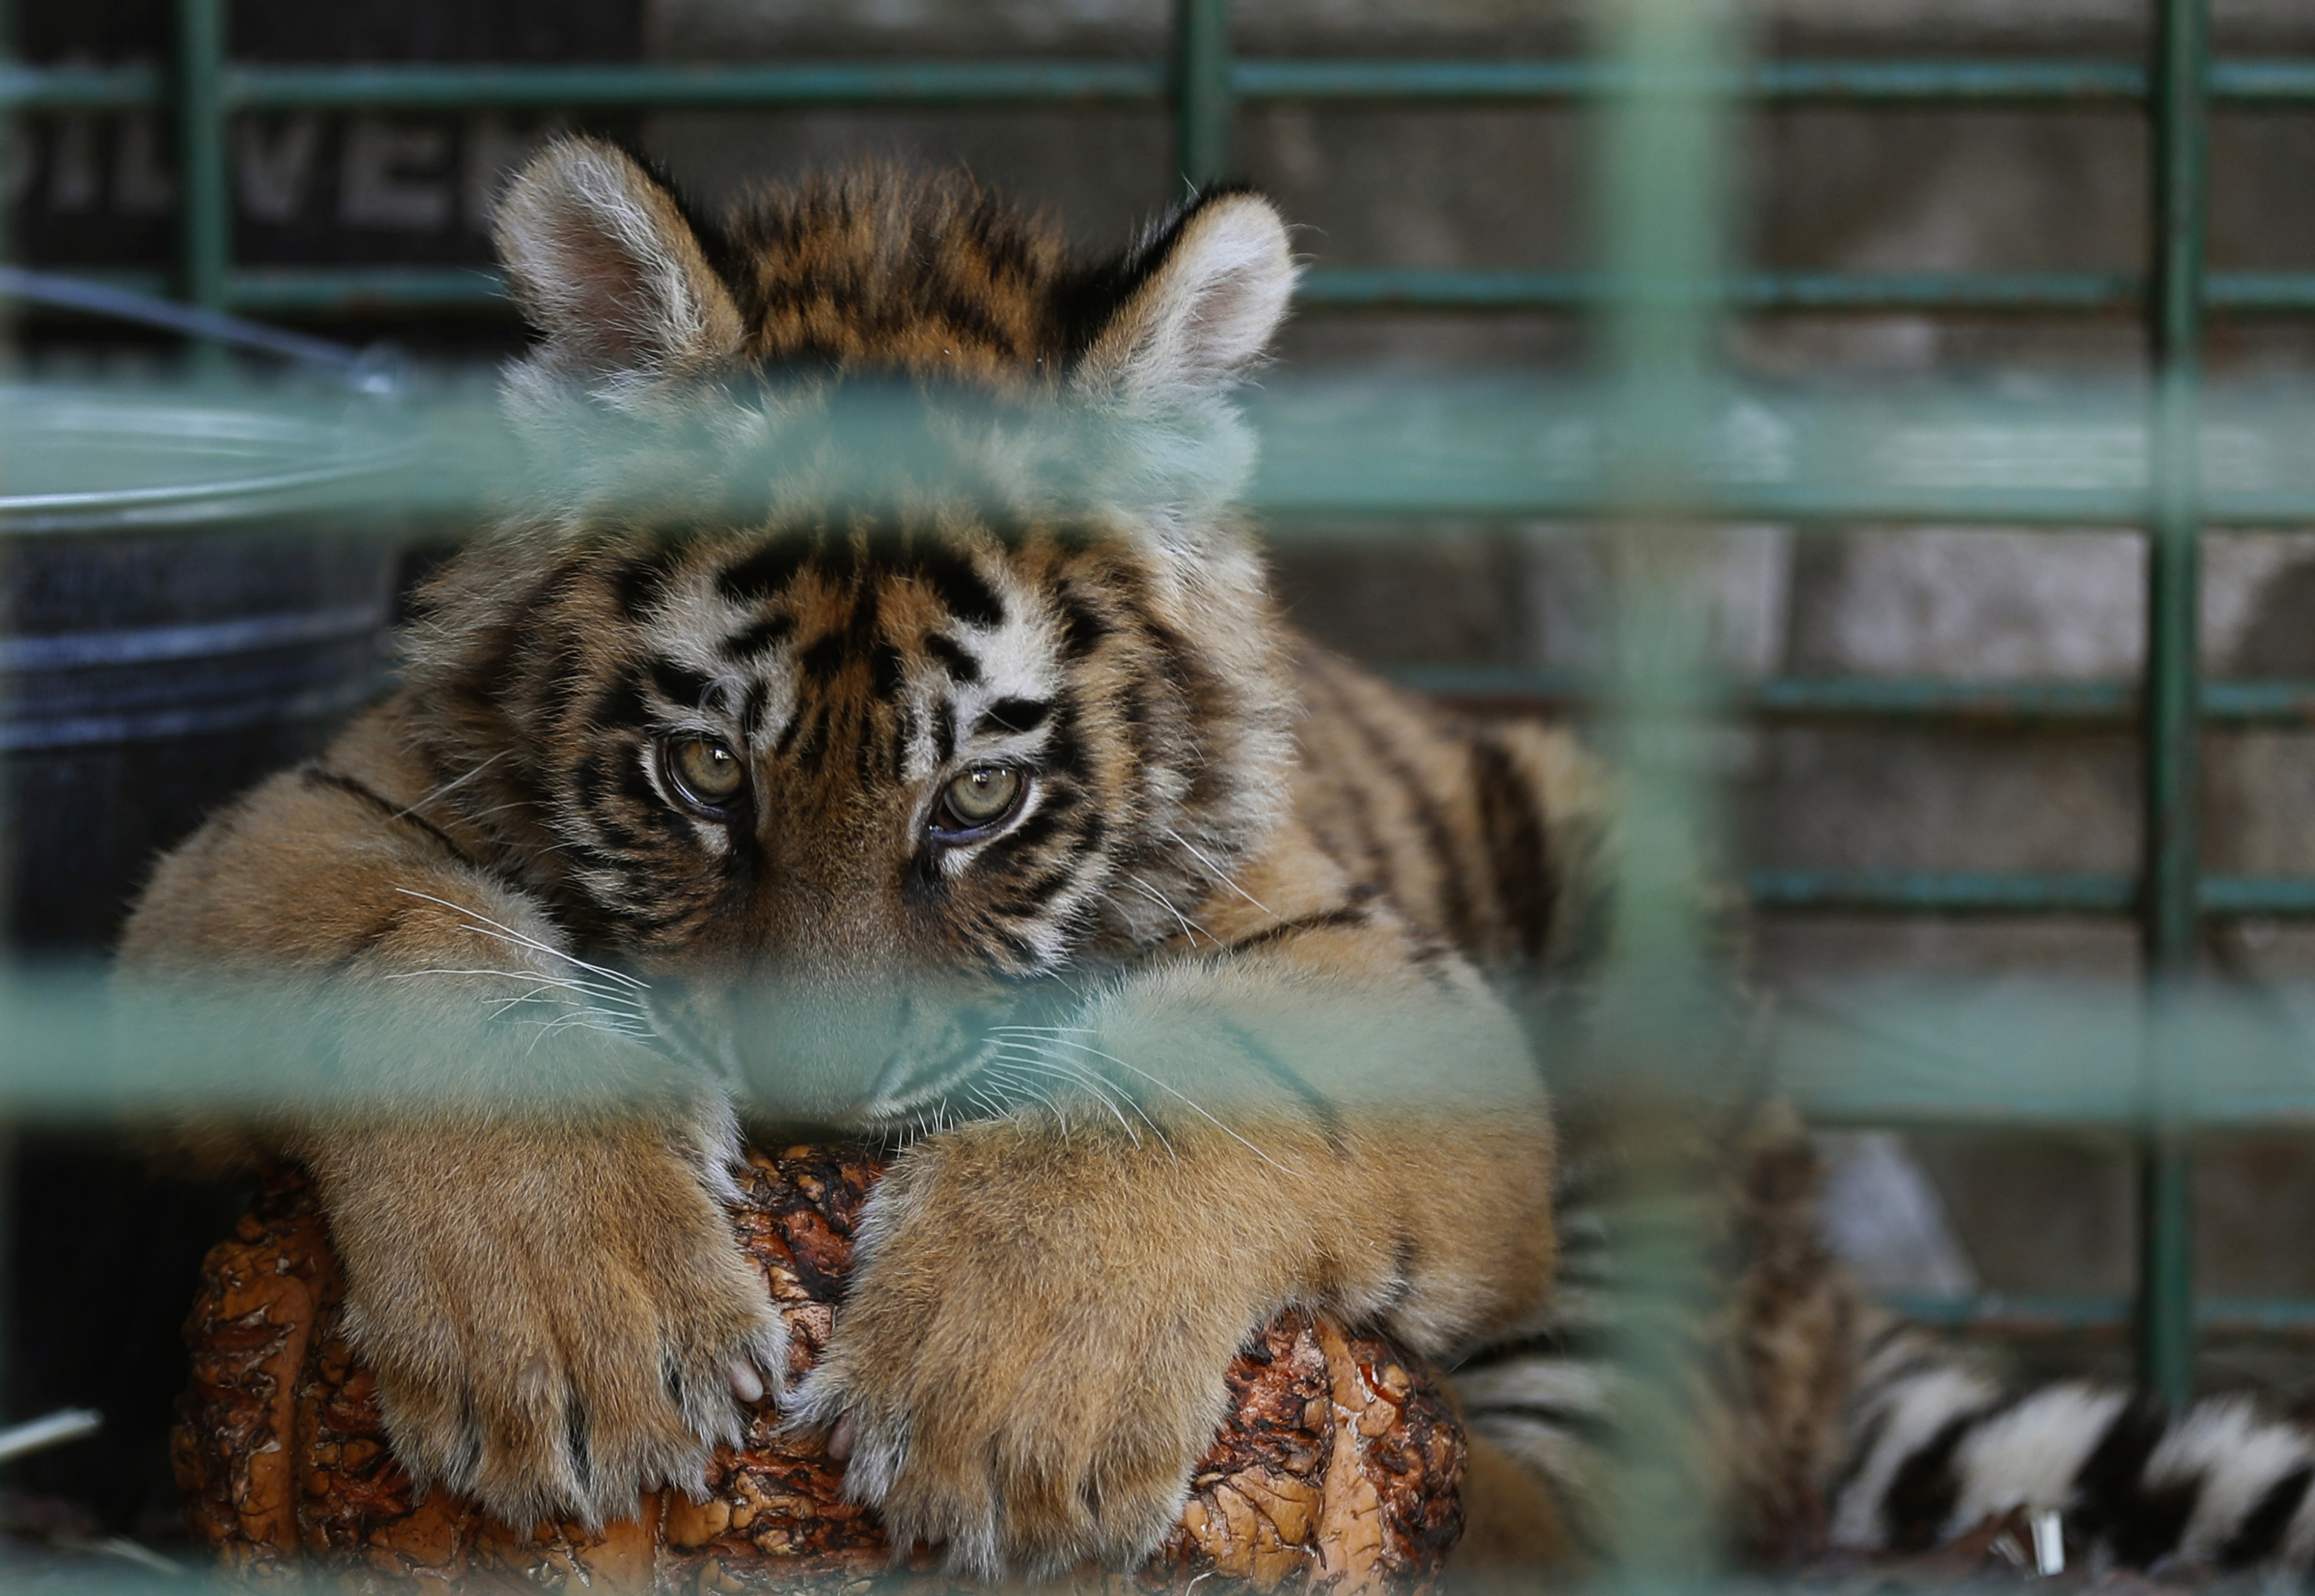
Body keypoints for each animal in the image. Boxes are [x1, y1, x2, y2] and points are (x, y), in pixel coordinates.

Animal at [118, 137, 2315, 1582]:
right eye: (700, 773)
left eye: (978, 805)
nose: (815, 1103)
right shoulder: (283, 832)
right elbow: (418, 959)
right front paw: (576, 1341)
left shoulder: (1373, 961)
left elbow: (1169, 1094)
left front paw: (1002, 1404)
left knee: (1627, 1469)